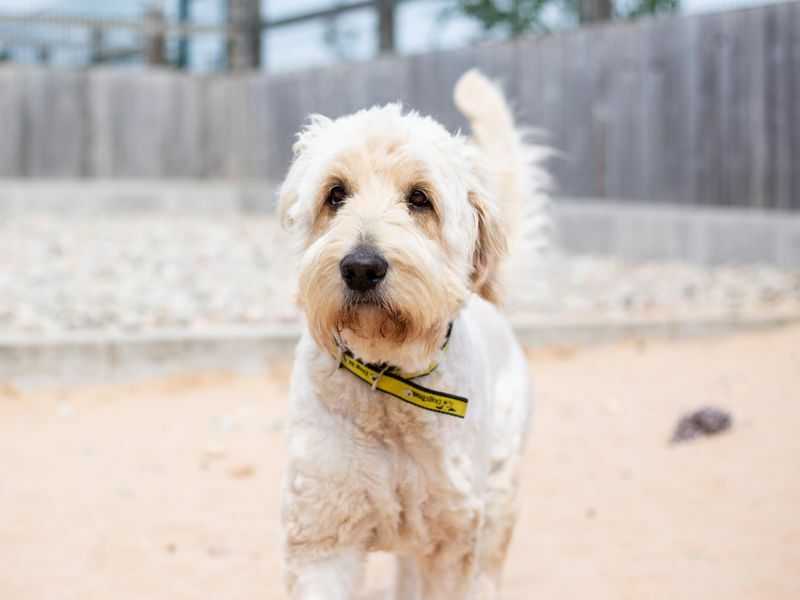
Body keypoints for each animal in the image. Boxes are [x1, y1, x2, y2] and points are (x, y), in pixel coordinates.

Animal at [278, 70, 548, 600]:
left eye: (419, 198)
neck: (388, 385)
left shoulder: (452, 539)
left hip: (498, 500)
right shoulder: (324, 532)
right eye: (335, 193)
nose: (361, 267)